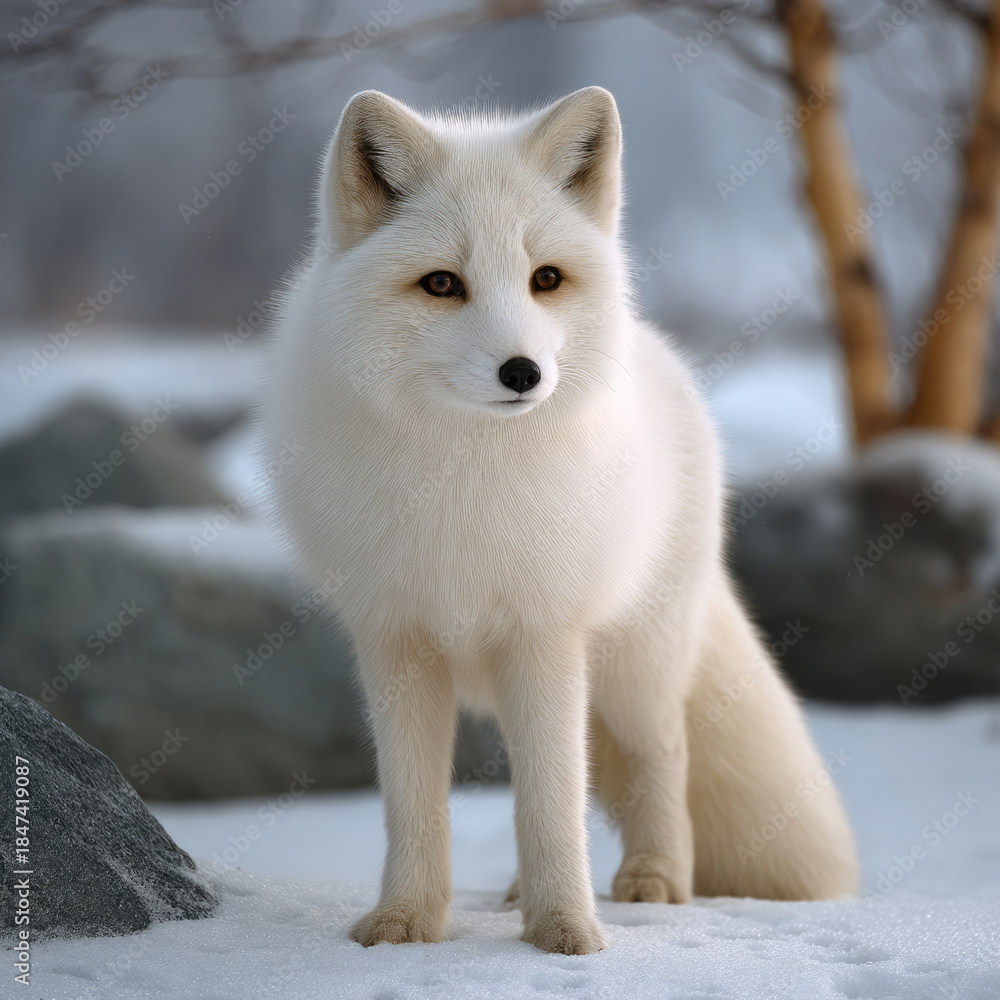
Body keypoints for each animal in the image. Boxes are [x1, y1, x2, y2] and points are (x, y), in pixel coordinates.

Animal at [260, 86, 859, 955]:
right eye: (441, 284)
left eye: (545, 278)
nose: (523, 372)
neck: (464, 484)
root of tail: (660, 354)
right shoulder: (397, 641)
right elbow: (417, 806)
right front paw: (405, 921)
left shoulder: (544, 634)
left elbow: (553, 803)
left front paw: (567, 930)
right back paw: (515, 893)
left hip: (636, 665)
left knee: (661, 759)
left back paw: (654, 881)